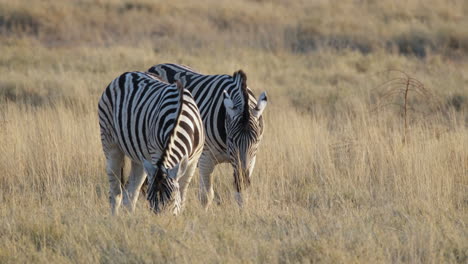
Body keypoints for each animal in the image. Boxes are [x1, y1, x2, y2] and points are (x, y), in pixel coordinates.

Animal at [97, 71, 203, 214]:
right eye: (149, 200)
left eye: (171, 199)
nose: (162, 219)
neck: (179, 118)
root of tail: (126, 74)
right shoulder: (156, 151)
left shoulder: (193, 160)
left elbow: (182, 192)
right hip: (109, 141)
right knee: (115, 191)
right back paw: (115, 217)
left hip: (139, 158)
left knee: (131, 191)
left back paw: (129, 217)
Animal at [148, 63, 268, 207]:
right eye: (231, 139)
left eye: (256, 141)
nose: (243, 179)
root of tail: (157, 66)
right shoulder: (206, 158)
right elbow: (206, 196)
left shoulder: (251, 159)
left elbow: (241, 196)